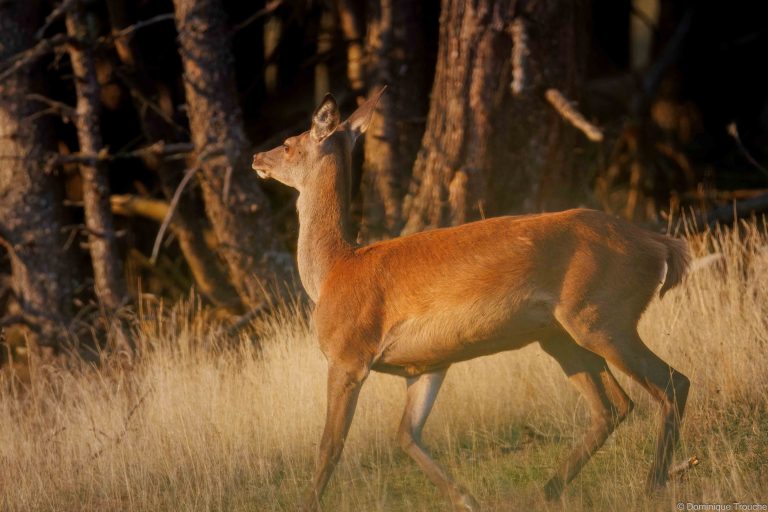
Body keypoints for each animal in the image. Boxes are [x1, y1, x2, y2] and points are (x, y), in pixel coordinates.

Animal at [251, 88, 691, 512]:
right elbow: (406, 435)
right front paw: (467, 499)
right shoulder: (427, 363)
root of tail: (659, 245)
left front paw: (307, 505)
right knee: (613, 406)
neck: (333, 271)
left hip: (601, 316)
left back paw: (651, 484)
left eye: (288, 144)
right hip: (561, 334)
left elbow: (330, 445)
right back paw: (546, 492)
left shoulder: (348, 355)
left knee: (672, 382)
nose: (257, 156)